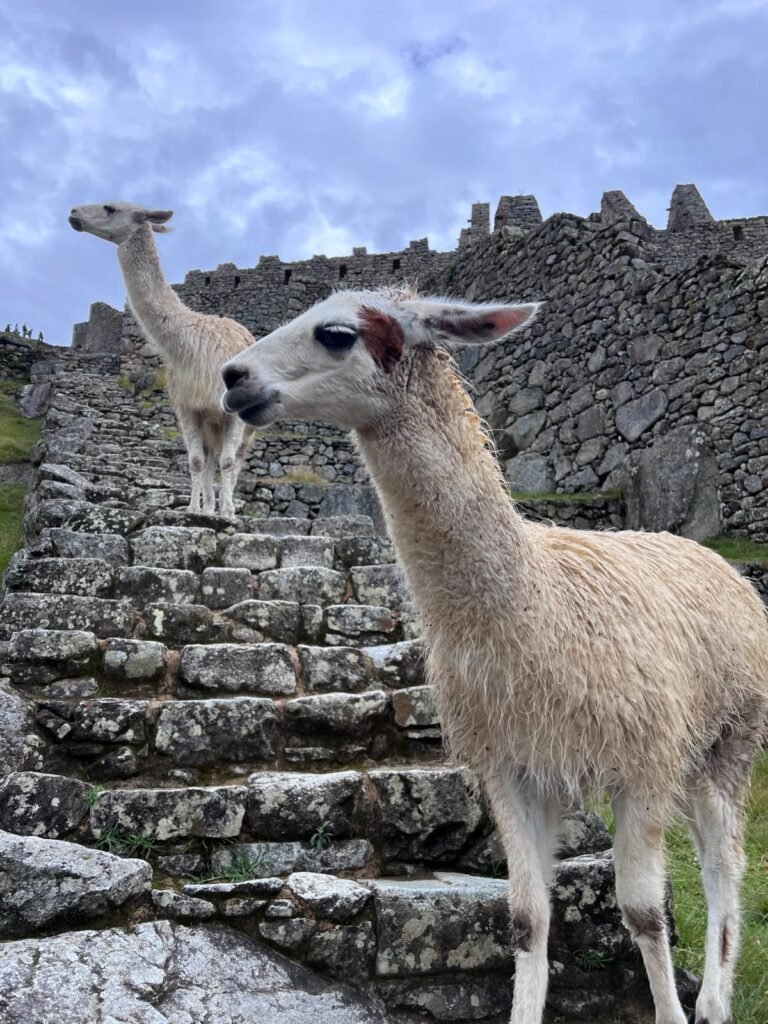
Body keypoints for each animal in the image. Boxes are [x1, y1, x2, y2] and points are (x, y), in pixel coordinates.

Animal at [69, 202, 255, 517]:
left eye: (110, 208)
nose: (73, 214)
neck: (189, 341)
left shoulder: (231, 410)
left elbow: (229, 463)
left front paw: (228, 514)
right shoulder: (189, 406)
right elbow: (196, 462)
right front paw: (193, 510)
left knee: (236, 460)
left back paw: (225, 509)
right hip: (210, 423)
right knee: (209, 460)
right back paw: (208, 508)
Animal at [220, 287, 768, 1024]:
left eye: (335, 333)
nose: (233, 377)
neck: (536, 610)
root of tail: (713, 559)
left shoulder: (643, 762)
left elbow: (644, 912)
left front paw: (672, 1013)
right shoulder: (513, 763)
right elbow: (528, 919)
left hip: (731, 735)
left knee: (722, 862)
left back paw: (711, 999)